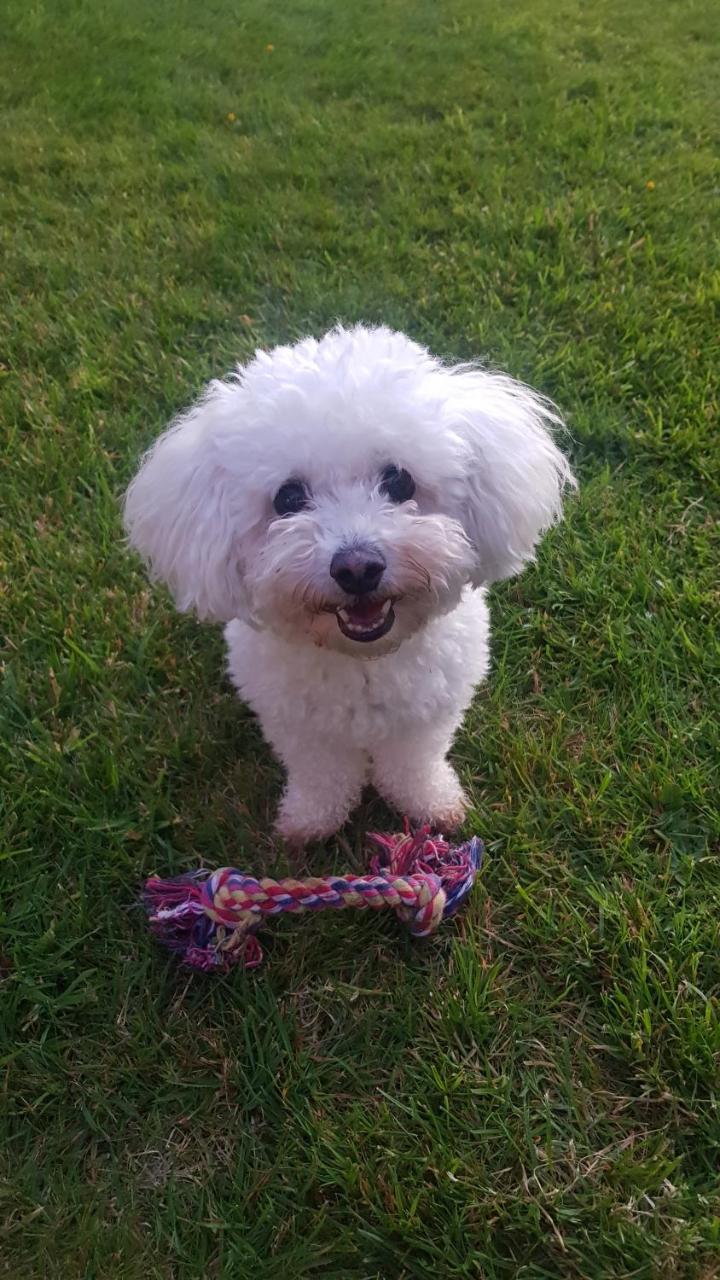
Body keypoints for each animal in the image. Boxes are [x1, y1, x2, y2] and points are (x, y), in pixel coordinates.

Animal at [124, 322, 571, 839]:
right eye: (288, 498)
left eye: (399, 481)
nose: (358, 567)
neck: (363, 660)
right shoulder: (296, 724)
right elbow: (322, 773)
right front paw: (311, 820)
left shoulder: (429, 713)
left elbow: (414, 764)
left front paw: (430, 805)